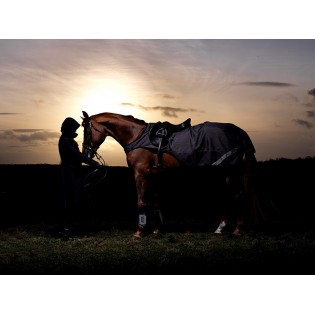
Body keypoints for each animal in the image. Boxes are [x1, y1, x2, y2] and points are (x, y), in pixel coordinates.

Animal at [81, 112, 260, 238]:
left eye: (87, 131)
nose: (86, 153)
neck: (136, 136)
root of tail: (238, 131)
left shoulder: (140, 174)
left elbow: (142, 202)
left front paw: (139, 232)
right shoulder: (154, 175)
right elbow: (155, 201)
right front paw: (157, 230)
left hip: (229, 172)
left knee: (237, 196)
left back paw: (237, 230)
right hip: (226, 172)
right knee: (231, 197)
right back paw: (220, 228)